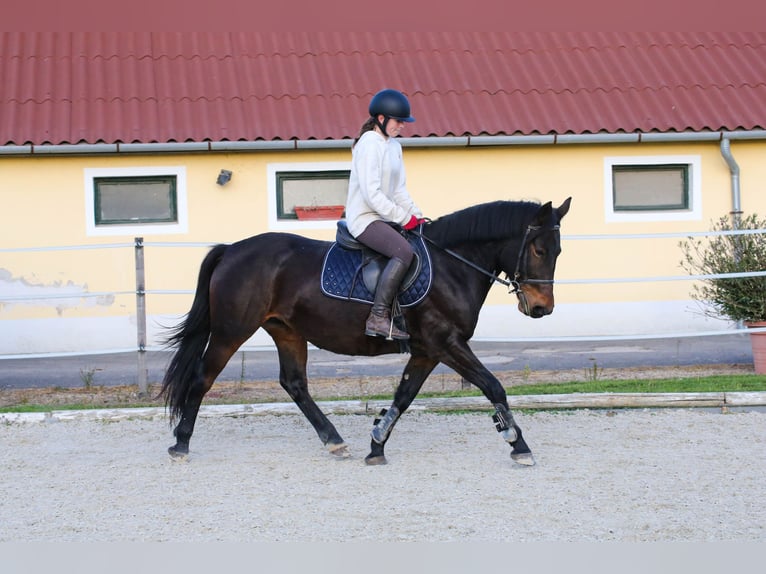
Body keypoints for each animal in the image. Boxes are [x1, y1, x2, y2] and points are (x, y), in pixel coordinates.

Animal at [160, 198, 568, 468]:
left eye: (558, 251)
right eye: (538, 249)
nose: (541, 308)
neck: (452, 265)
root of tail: (231, 250)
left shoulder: (427, 351)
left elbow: (403, 397)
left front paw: (376, 445)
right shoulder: (446, 343)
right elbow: (493, 386)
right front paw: (518, 443)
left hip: (287, 332)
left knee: (294, 384)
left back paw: (334, 441)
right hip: (231, 331)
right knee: (202, 378)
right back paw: (181, 445)